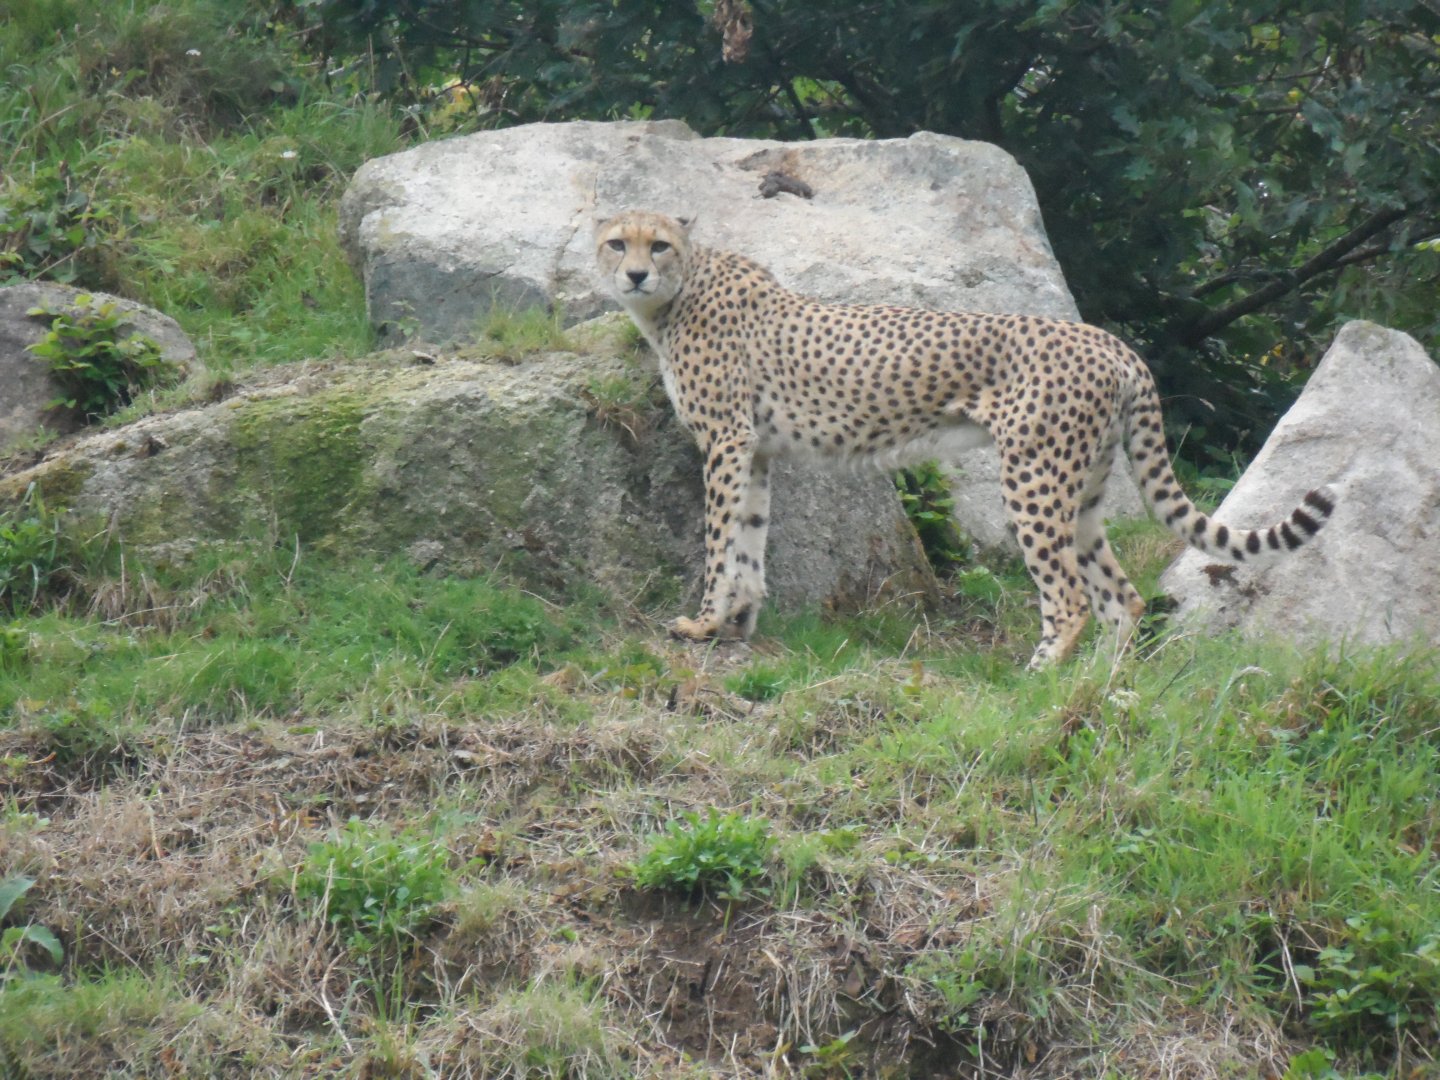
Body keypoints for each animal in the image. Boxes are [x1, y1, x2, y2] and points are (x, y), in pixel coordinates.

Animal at [594, 210, 1337, 668]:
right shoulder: (755, 450)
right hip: (1085, 490)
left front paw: (702, 624)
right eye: (616, 243)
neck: (679, 292)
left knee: (1069, 597)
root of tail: (1111, 342)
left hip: (1033, 477)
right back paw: (1097, 685)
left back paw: (1039, 679)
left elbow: (720, 540)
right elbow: (747, 540)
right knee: (1120, 596)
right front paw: (736, 624)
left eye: (658, 244)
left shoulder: (725, 441)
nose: (634, 274)